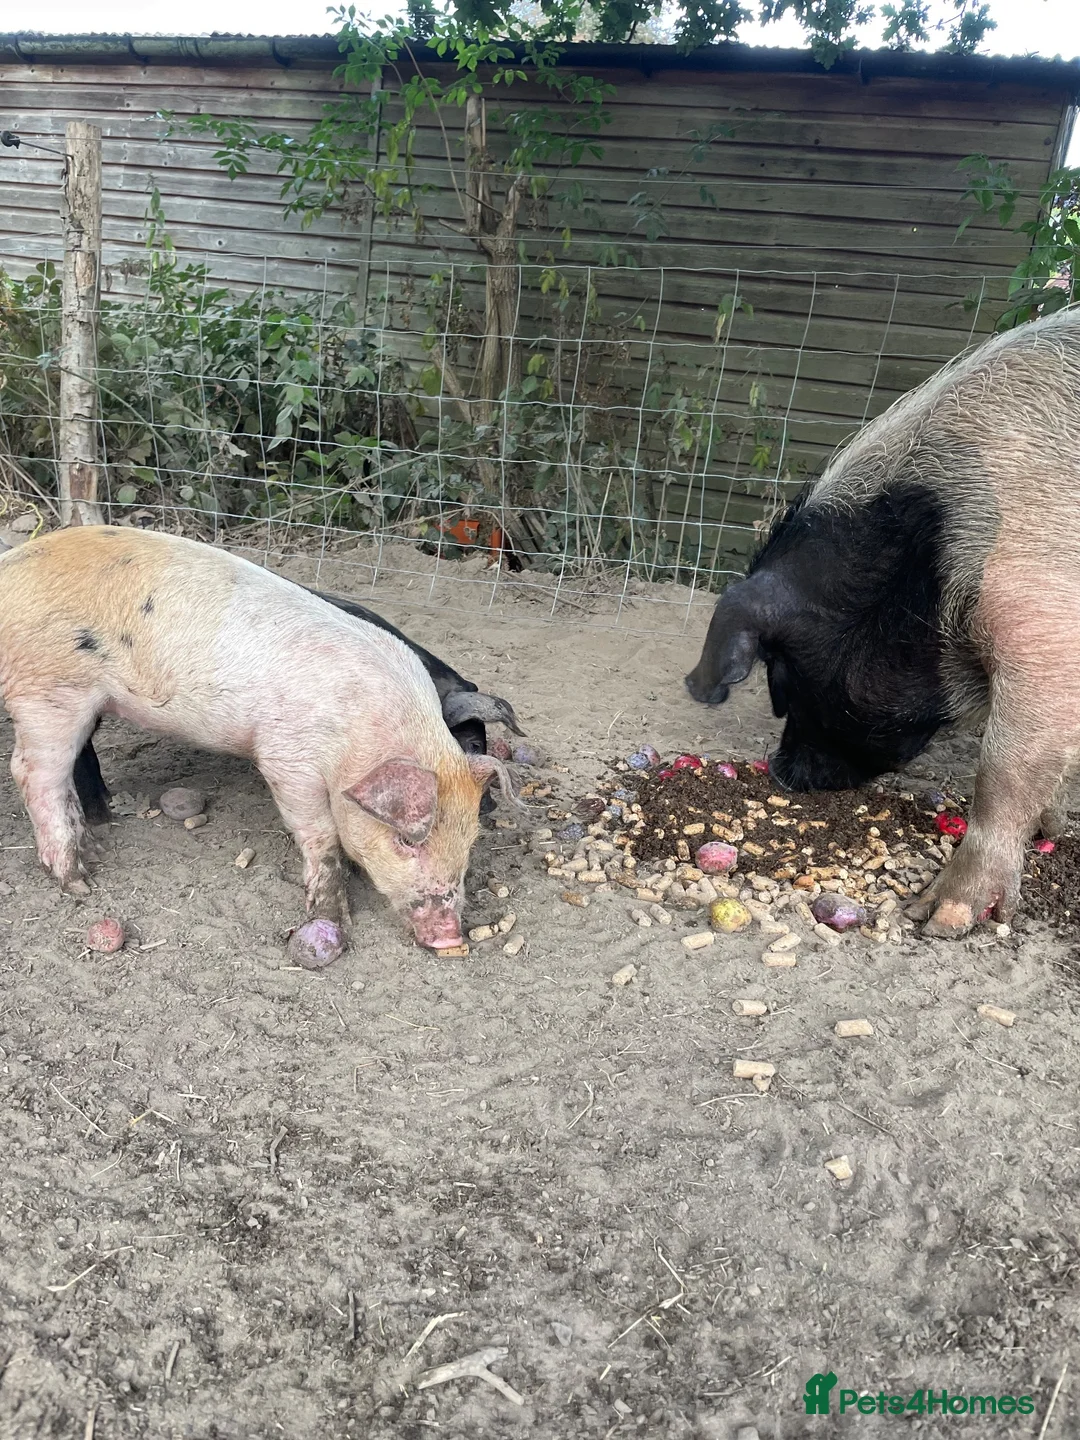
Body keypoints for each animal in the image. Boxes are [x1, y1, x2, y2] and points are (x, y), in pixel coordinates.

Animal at [685, 304, 1080, 939]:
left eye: (784, 678)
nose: (780, 773)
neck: (924, 569)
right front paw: (1052, 830)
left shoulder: (1043, 633)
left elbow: (1004, 768)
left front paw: (938, 920)